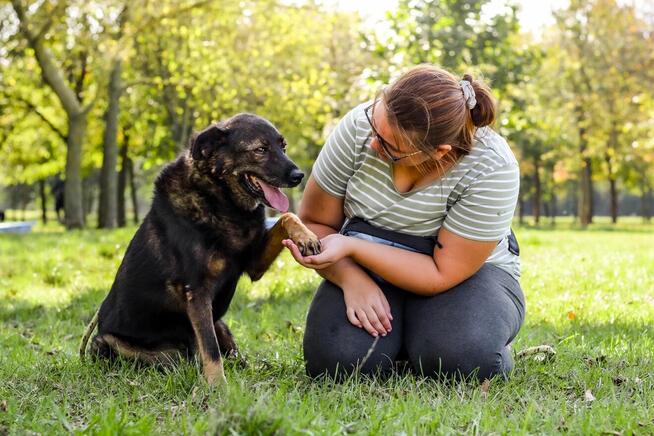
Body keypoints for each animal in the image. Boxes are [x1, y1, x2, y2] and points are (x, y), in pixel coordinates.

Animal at [80, 113, 322, 384]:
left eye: (283, 147)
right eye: (260, 149)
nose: (299, 175)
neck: (221, 200)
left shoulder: (253, 265)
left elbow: (287, 216)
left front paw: (306, 236)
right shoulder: (197, 292)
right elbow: (211, 350)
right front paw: (219, 387)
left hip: (220, 323)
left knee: (232, 357)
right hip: (106, 342)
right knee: (176, 357)